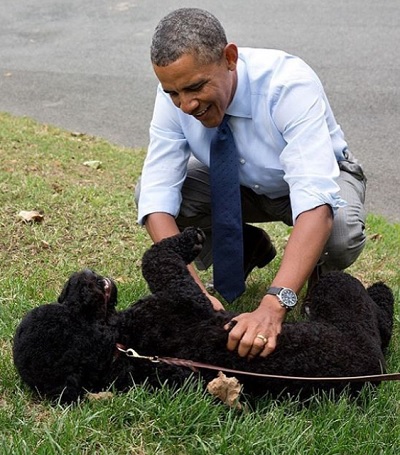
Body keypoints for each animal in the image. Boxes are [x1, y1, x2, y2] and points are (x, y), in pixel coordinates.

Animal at [12, 227, 394, 402]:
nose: (83, 278)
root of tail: (373, 372)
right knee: (380, 315)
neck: (119, 348)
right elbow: (155, 259)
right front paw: (190, 238)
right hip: (340, 294)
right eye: (74, 305)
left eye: (66, 299)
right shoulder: (181, 296)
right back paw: (380, 291)